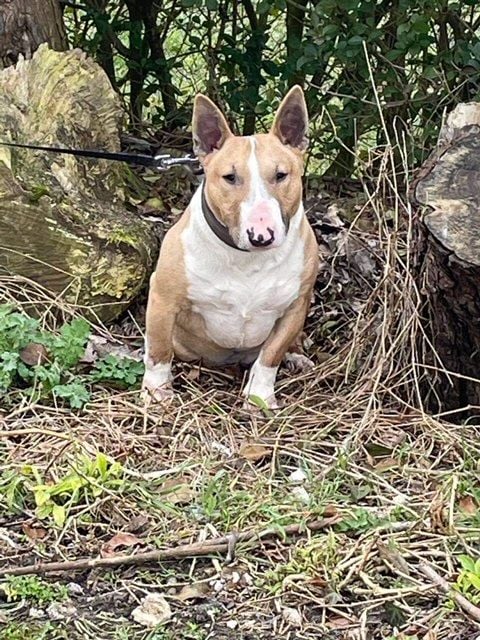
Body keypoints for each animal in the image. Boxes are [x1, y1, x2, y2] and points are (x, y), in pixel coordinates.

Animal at [142, 85, 319, 409]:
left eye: (281, 175)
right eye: (230, 177)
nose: (261, 236)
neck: (246, 259)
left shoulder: (295, 306)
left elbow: (271, 355)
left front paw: (259, 398)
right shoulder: (163, 297)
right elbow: (160, 349)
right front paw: (156, 392)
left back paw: (298, 357)